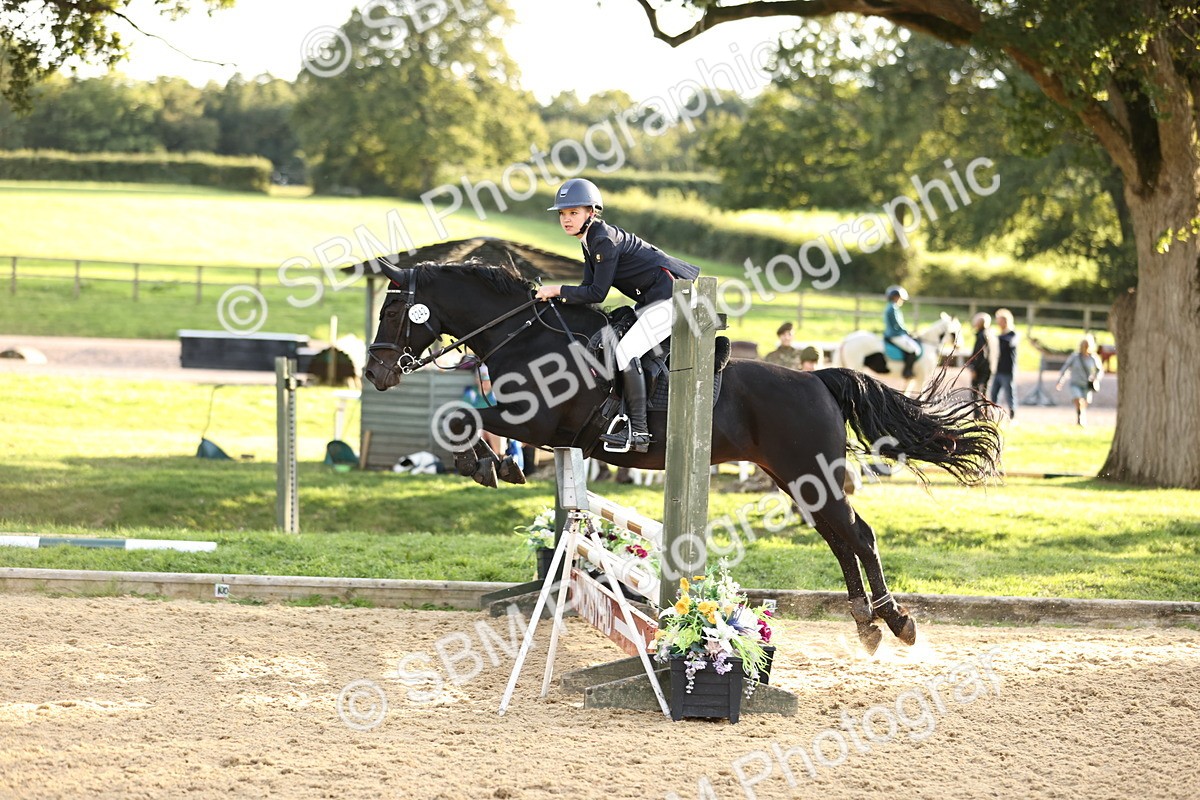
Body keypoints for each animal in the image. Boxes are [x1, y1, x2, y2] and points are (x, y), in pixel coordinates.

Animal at [364, 262, 1002, 654]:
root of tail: (818, 377)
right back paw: (867, 624)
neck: (526, 336)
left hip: (807, 472)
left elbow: (461, 416)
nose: (374, 374)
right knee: (840, 537)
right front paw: (492, 464)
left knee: (858, 535)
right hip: (797, 479)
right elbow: (465, 418)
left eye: (393, 313)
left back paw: (896, 622)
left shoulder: (539, 421)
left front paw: (488, 464)